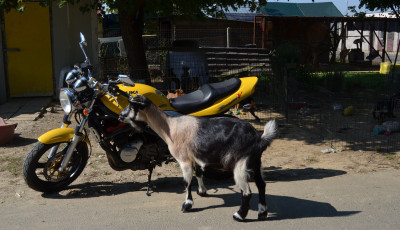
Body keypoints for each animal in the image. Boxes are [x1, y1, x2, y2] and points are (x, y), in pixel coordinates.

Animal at [117, 95, 276, 221]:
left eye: (132, 105)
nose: (120, 116)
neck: (170, 128)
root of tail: (259, 138)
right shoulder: (196, 157)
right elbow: (199, 173)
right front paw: (202, 191)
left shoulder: (184, 160)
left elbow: (186, 182)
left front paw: (187, 205)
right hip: (255, 161)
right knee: (261, 185)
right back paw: (262, 213)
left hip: (241, 162)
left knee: (247, 191)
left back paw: (239, 215)